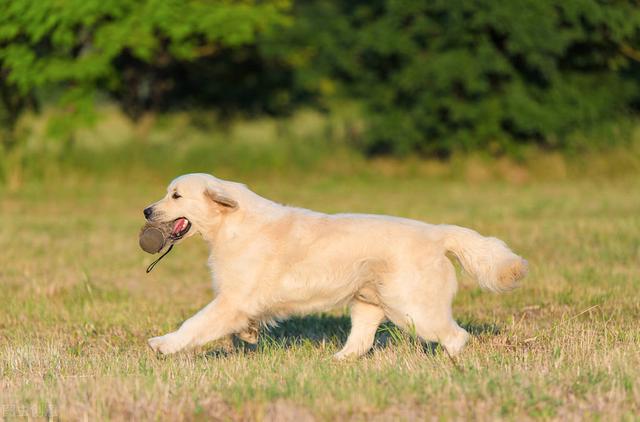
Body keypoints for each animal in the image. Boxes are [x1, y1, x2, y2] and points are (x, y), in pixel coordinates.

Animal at [146, 173, 528, 358]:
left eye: (176, 196)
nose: (147, 210)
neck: (230, 222)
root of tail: (437, 233)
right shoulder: (239, 300)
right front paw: (249, 334)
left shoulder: (232, 299)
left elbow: (195, 324)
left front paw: (163, 344)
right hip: (369, 303)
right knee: (360, 342)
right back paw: (335, 362)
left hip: (415, 310)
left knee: (456, 336)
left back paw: (451, 363)